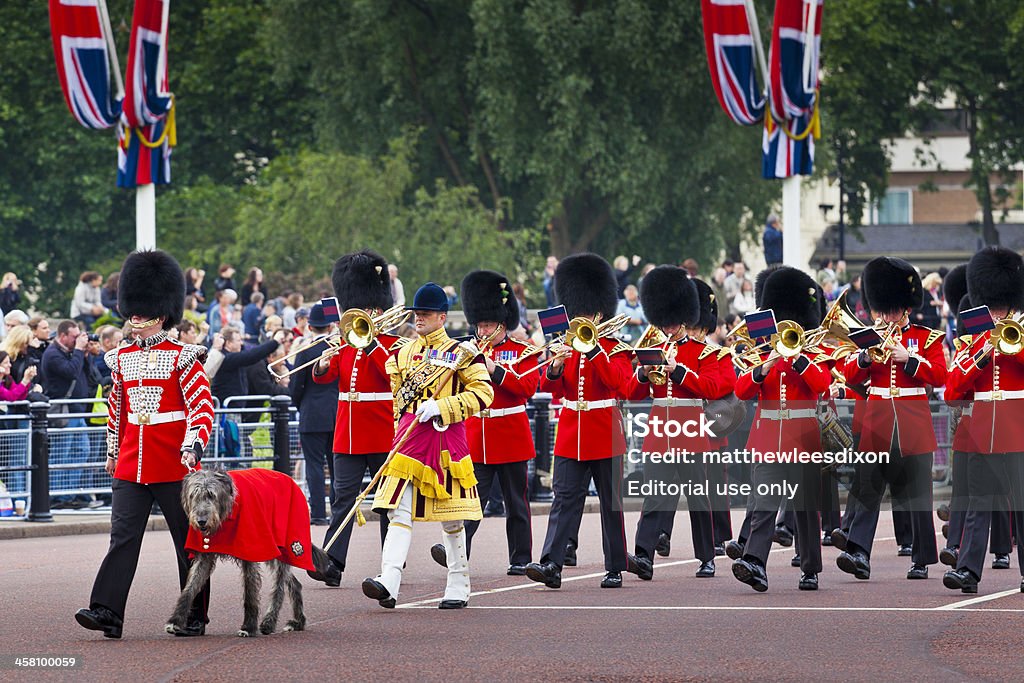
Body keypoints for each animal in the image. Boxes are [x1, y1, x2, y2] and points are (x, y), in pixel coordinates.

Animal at [165, 466, 329, 638]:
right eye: (193, 495)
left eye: (211, 495)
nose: (201, 521)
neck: (228, 511)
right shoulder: (205, 553)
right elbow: (190, 589)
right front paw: (175, 621)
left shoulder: (250, 551)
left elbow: (250, 592)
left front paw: (248, 627)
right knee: (294, 583)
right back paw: (298, 622)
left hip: (283, 545)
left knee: (279, 586)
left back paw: (269, 622)